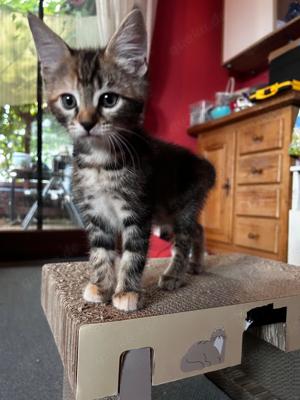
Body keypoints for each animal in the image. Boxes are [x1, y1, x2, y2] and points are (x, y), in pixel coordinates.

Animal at [28, 7, 216, 310]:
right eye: (68, 101)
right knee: (197, 228)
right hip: (166, 212)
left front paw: (126, 291)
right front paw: (101, 285)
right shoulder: (95, 212)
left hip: (181, 206)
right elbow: (101, 251)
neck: (100, 163)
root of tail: (205, 165)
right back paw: (196, 264)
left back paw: (175, 274)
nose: (87, 123)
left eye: (109, 99)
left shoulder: (137, 210)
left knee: (185, 237)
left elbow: (133, 253)